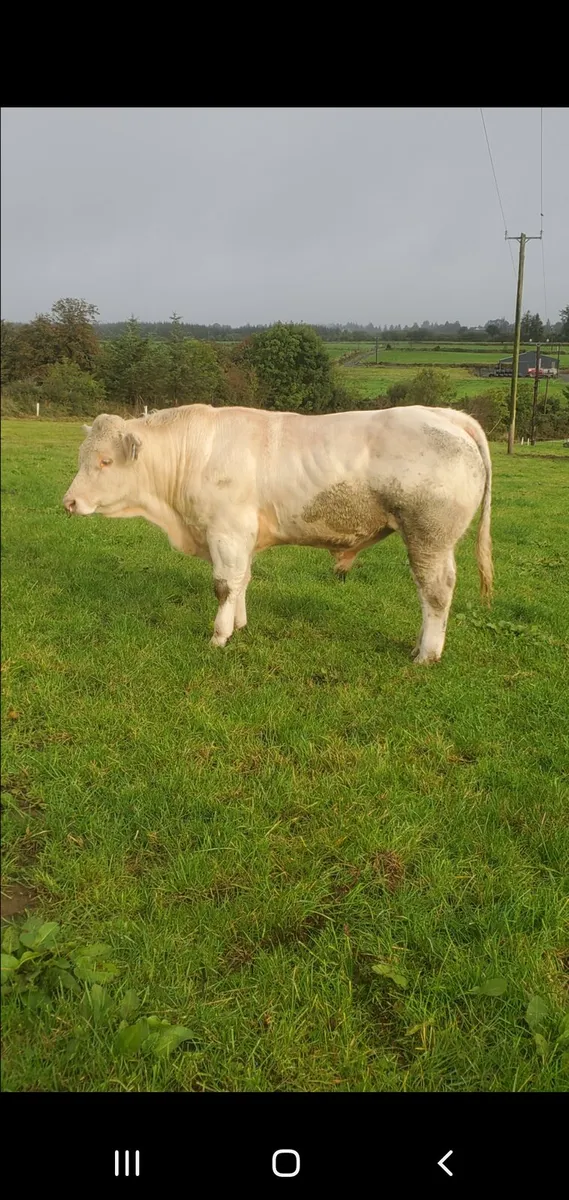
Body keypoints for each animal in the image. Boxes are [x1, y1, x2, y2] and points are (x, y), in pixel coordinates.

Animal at [62, 403, 493, 663]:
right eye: (82, 457)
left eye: (105, 461)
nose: (69, 502)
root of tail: (445, 414)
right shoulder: (243, 536)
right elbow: (242, 581)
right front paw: (239, 625)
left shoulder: (227, 530)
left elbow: (224, 585)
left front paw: (219, 636)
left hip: (429, 536)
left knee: (435, 591)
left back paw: (426, 654)